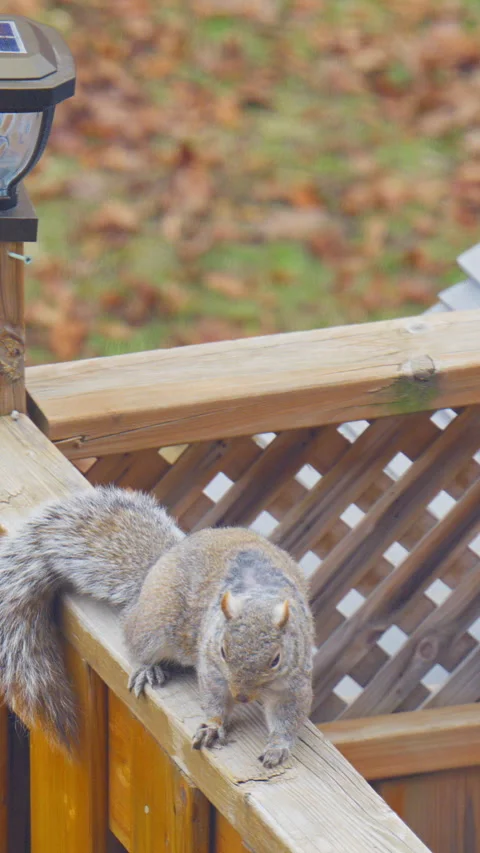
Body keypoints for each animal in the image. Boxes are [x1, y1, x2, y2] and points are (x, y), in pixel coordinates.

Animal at [0, 485, 313, 768]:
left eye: (276, 659)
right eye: (223, 650)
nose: (242, 697)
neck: (258, 595)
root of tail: (157, 565)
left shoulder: (295, 681)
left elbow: (288, 715)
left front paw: (278, 746)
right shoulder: (211, 666)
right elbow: (214, 699)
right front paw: (213, 724)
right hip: (155, 626)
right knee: (136, 642)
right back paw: (148, 668)